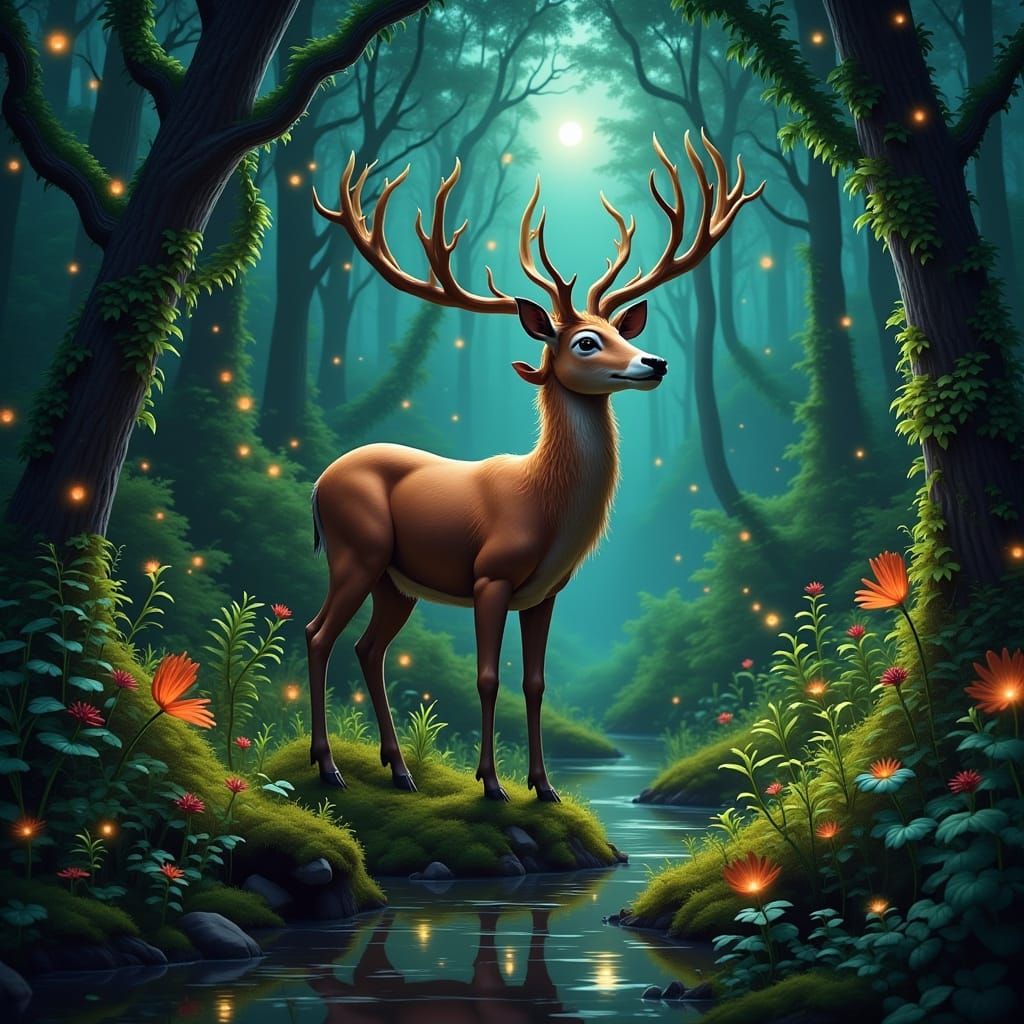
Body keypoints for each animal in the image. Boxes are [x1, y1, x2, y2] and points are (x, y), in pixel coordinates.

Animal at [307, 130, 764, 801]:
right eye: (586, 342)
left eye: (618, 330)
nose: (654, 362)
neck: (542, 505)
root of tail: (316, 483)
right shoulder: (490, 575)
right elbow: (487, 677)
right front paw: (492, 784)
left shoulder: (547, 592)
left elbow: (536, 683)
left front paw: (544, 786)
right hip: (355, 550)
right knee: (319, 635)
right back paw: (330, 767)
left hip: (395, 581)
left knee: (368, 648)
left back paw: (400, 771)